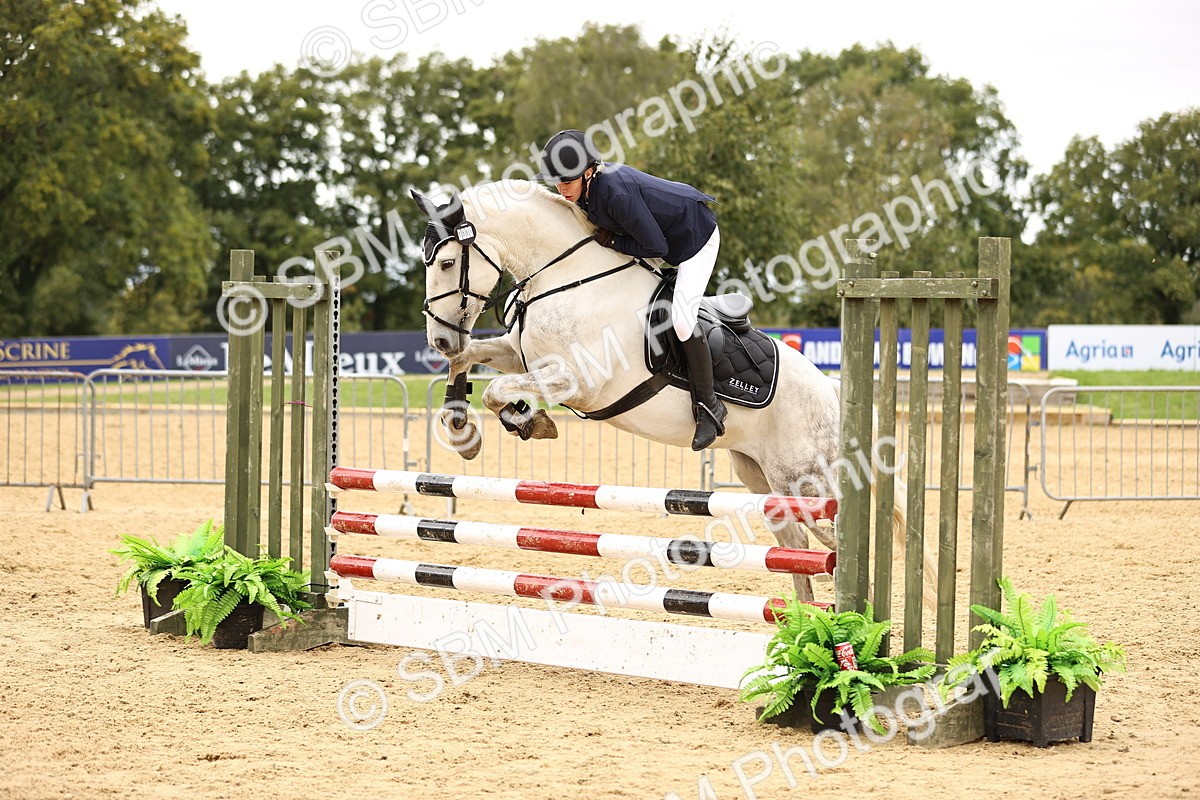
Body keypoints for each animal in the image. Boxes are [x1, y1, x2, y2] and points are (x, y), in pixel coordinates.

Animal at [411, 179, 936, 606]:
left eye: (448, 262)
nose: (437, 339)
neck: (565, 278)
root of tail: (833, 392)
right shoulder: (521, 357)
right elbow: (472, 364)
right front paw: (466, 432)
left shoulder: (578, 381)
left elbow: (496, 389)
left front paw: (526, 420)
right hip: (764, 480)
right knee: (798, 549)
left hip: (806, 482)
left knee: (838, 541)